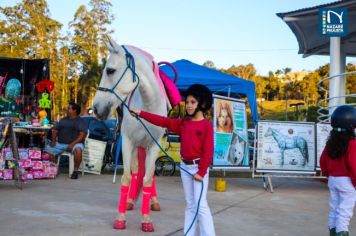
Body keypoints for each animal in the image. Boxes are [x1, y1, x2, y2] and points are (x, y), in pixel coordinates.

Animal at [92, 36, 166, 230]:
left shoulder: (154, 146)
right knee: (135, 172)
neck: (148, 105)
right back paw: (130, 201)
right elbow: (126, 177)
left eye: (110, 70)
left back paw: (154, 203)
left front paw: (146, 220)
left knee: (149, 174)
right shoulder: (127, 143)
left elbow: (147, 179)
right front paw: (120, 218)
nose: (96, 108)